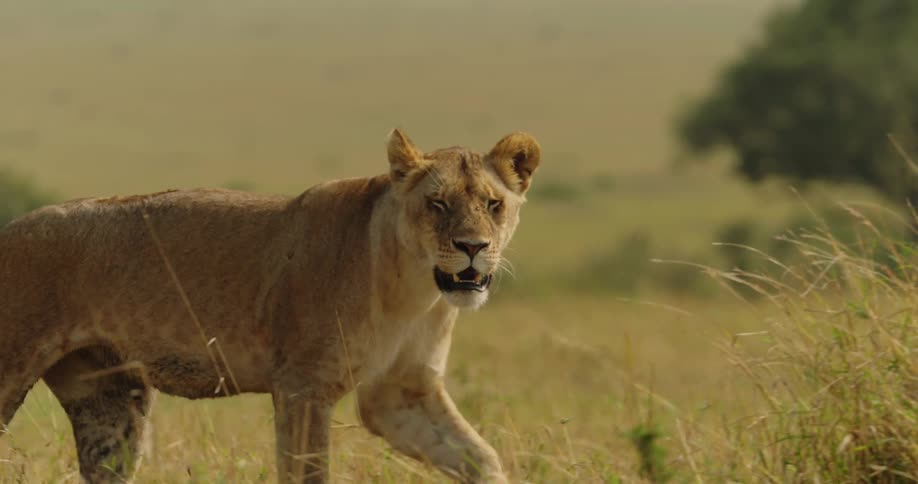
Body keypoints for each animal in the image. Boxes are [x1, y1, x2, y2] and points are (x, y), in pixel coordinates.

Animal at [0, 129, 541, 483]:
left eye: (493, 204)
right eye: (437, 203)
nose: (473, 247)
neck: (412, 289)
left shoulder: (399, 393)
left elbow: (482, 459)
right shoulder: (304, 385)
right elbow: (308, 474)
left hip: (109, 401)